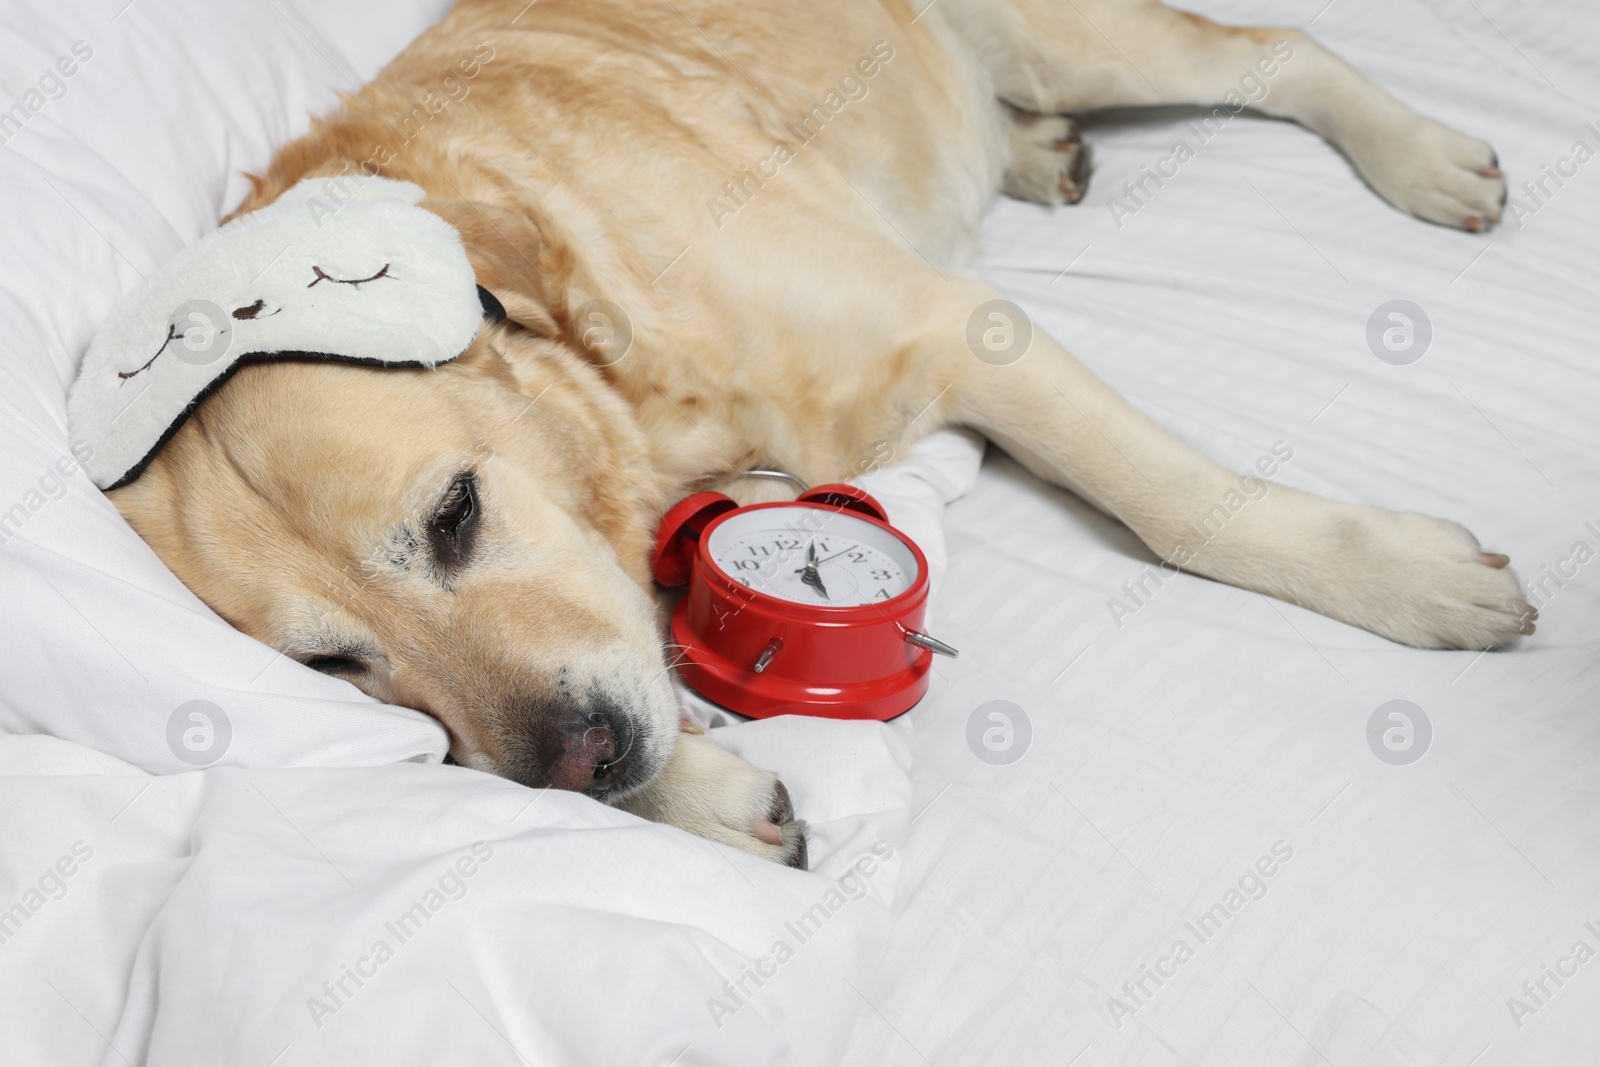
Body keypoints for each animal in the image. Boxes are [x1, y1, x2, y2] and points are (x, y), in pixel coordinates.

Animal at [106, 0, 1529, 870]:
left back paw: (1418, 154)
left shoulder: (959, 334)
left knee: (1278, 48)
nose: (586, 765)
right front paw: (694, 792)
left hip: (1079, 40)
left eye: (455, 513)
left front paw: (1402, 577)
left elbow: (1176, 505)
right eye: (337, 665)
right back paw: (1031, 149)